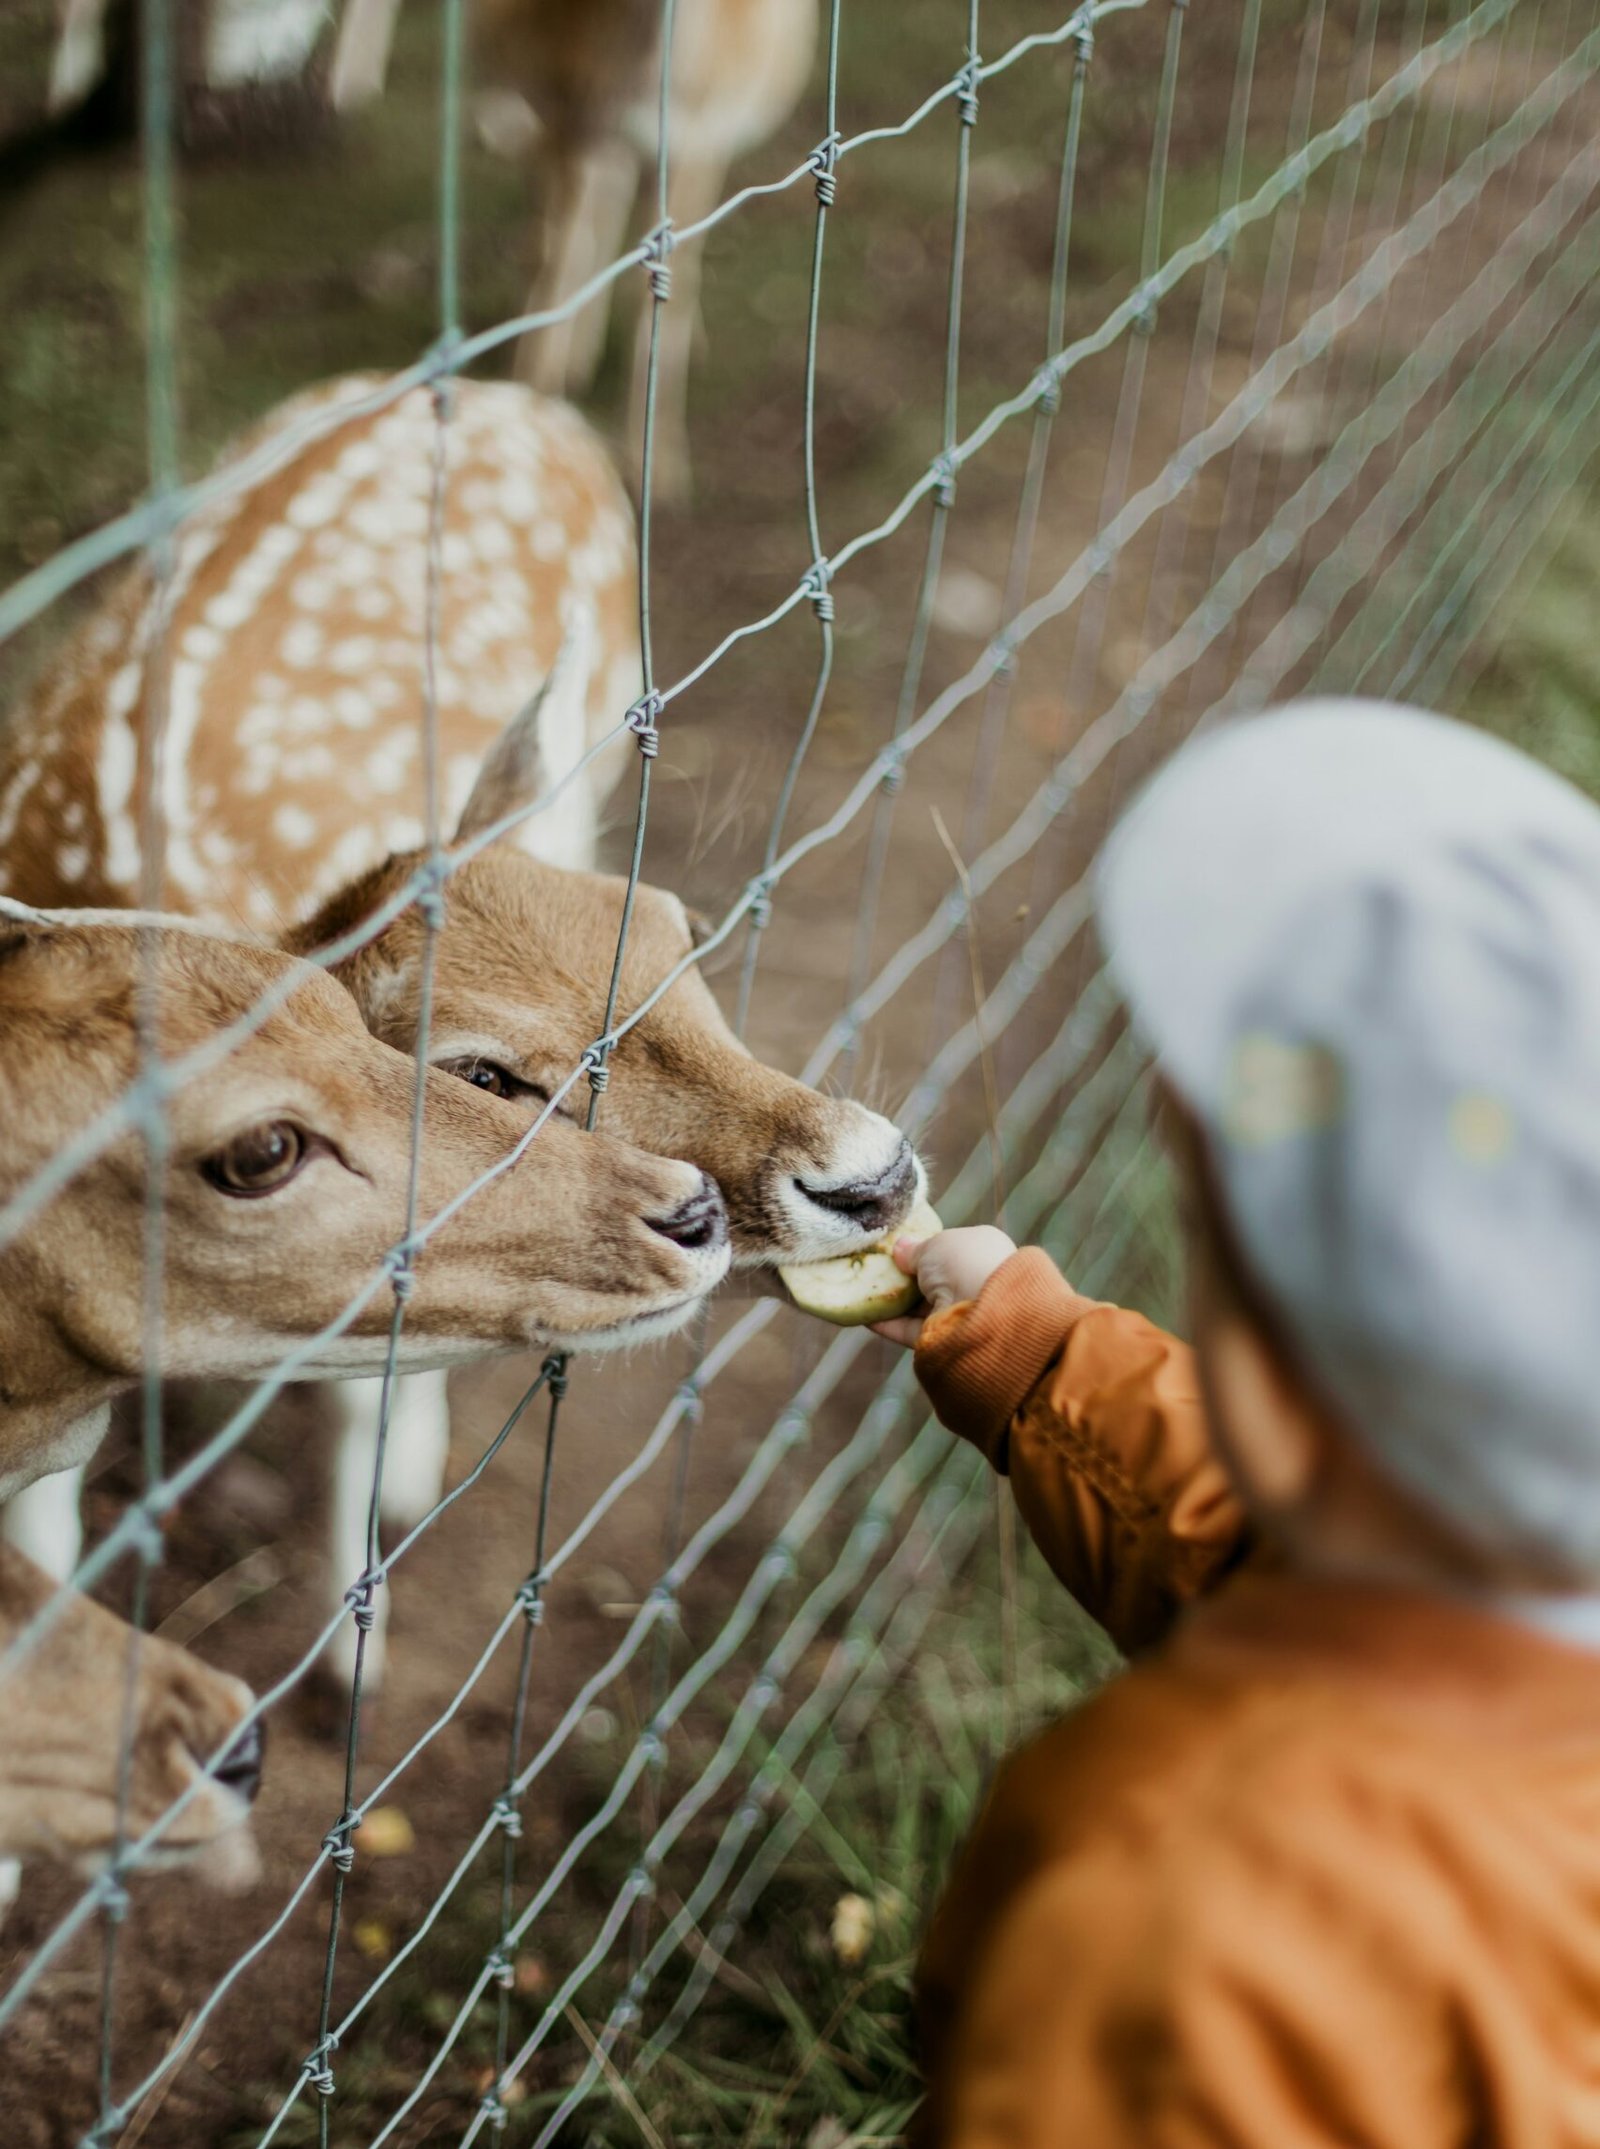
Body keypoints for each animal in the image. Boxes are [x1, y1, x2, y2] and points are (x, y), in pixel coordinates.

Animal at [332, 2, 824, 494]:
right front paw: (535, 400)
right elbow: (556, 258)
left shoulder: (696, 140)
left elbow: (666, 282)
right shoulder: (571, 123)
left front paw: (658, 469)